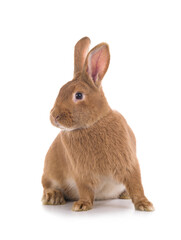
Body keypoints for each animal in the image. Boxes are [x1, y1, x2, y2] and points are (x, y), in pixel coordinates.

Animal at [41, 36, 154, 211]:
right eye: (60, 91)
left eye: (78, 95)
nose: (54, 116)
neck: (93, 124)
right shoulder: (81, 174)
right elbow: (85, 190)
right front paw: (82, 205)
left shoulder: (130, 165)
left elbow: (136, 186)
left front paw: (144, 205)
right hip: (49, 172)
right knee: (46, 185)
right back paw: (53, 197)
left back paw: (124, 195)